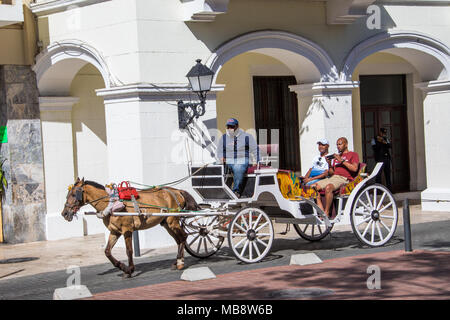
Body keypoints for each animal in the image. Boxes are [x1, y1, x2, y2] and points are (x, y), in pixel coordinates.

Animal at [61, 178, 200, 278]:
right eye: (68, 194)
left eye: (74, 194)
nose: (64, 213)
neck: (111, 203)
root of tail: (176, 191)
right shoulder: (114, 231)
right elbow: (107, 251)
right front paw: (121, 266)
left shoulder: (127, 230)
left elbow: (129, 251)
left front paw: (129, 270)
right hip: (166, 223)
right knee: (179, 240)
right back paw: (177, 261)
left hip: (172, 221)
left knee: (184, 236)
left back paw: (180, 263)